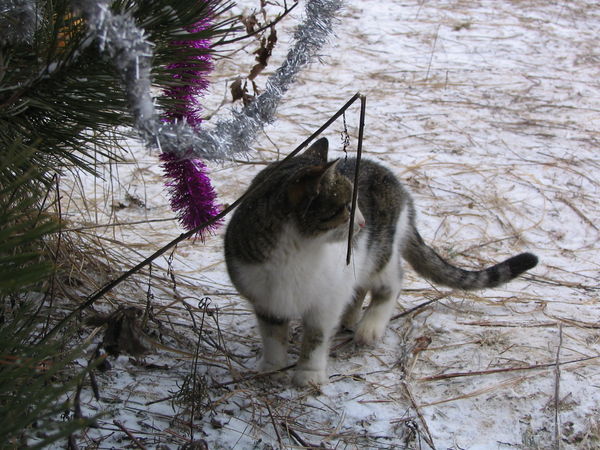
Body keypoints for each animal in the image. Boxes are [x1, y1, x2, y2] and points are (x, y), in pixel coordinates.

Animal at [224, 137, 538, 386]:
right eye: (347, 207)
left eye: (356, 205)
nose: (362, 223)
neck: (296, 253)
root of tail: (395, 182)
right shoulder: (267, 299)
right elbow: (273, 337)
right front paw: (272, 369)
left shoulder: (325, 301)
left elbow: (315, 338)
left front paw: (308, 375)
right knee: (360, 287)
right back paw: (350, 318)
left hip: (379, 254)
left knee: (392, 283)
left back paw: (369, 326)